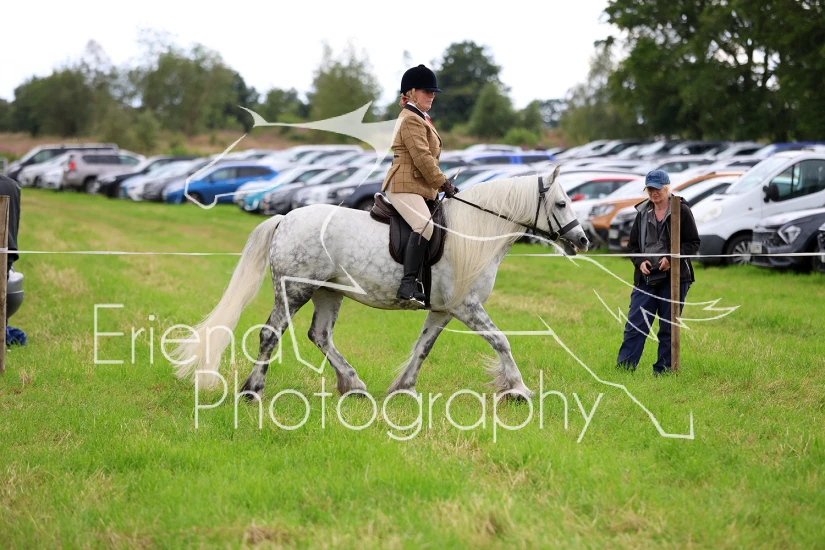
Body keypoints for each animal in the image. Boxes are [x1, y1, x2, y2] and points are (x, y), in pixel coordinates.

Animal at [172, 165, 590, 399]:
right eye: (562, 204)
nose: (584, 241)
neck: (475, 232)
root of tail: (285, 218)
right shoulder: (467, 306)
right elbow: (501, 341)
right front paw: (518, 389)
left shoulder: (443, 310)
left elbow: (423, 348)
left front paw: (402, 389)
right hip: (296, 289)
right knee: (271, 333)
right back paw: (252, 391)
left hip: (328, 292)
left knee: (319, 335)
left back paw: (353, 385)